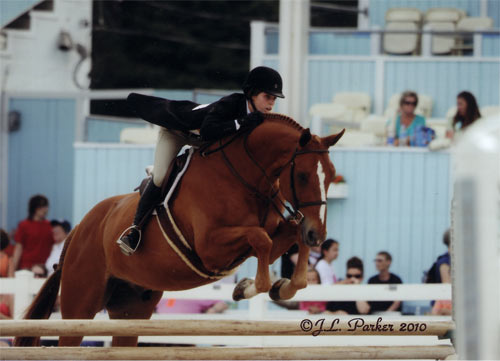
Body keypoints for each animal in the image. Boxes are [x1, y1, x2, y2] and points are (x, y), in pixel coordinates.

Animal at [15, 113, 344, 346]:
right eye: (302, 176)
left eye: (331, 176)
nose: (318, 234)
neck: (246, 175)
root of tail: (78, 230)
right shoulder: (210, 248)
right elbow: (259, 238)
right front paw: (250, 287)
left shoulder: (272, 235)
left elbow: (288, 239)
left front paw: (281, 286)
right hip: (80, 304)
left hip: (130, 308)